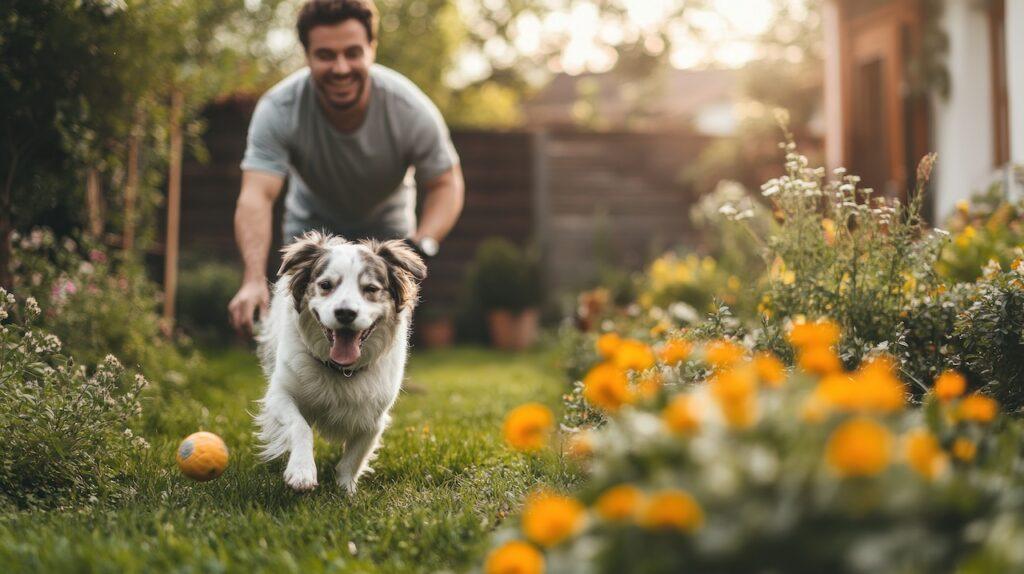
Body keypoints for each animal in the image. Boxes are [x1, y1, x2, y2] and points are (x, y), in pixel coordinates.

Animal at [253, 230, 425, 491]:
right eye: (326, 285)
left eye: (371, 288)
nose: (345, 313)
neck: (341, 369)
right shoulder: (279, 395)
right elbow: (300, 426)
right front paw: (301, 471)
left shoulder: (374, 417)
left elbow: (354, 458)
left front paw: (346, 490)